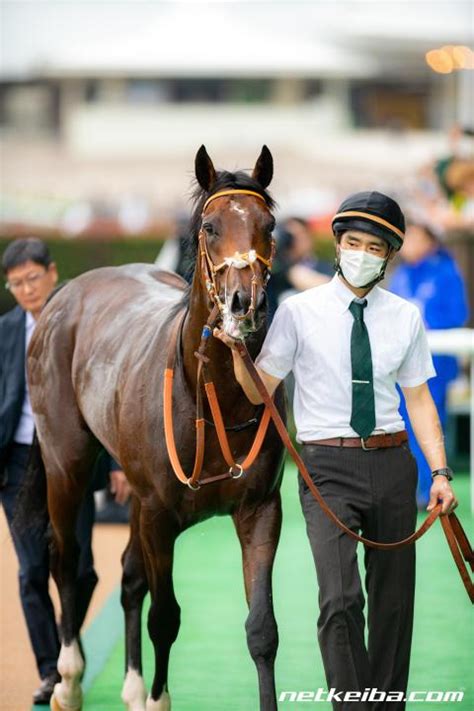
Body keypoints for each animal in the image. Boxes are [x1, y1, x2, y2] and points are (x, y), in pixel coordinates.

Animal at [26, 147, 286, 711]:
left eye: (268, 225)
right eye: (210, 227)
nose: (244, 304)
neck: (214, 398)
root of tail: (66, 295)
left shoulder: (259, 509)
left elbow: (263, 629)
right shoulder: (158, 516)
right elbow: (165, 617)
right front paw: (156, 698)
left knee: (126, 576)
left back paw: (128, 685)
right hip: (66, 461)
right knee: (67, 559)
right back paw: (68, 681)